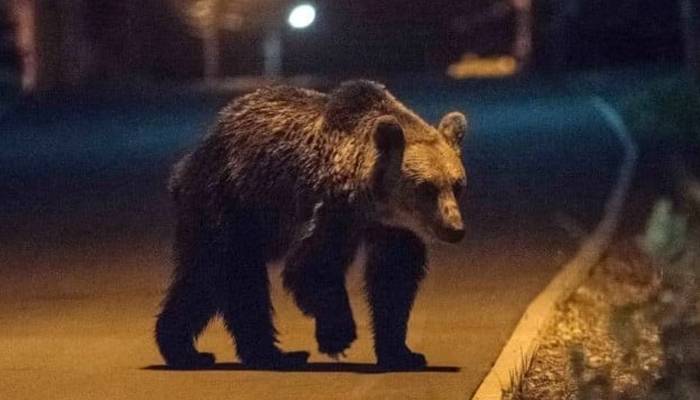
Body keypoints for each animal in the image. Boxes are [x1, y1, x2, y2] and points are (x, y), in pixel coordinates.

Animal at [156, 79, 468, 370]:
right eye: (427, 188)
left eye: (457, 185)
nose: (455, 228)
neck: (375, 201)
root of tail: (190, 159)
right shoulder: (334, 208)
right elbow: (312, 265)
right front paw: (338, 336)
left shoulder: (393, 229)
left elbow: (394, 277)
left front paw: (403, 353)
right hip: (229, 201)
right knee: (227, 272)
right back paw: (239, 352)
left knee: (215, 279)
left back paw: (210, 351)